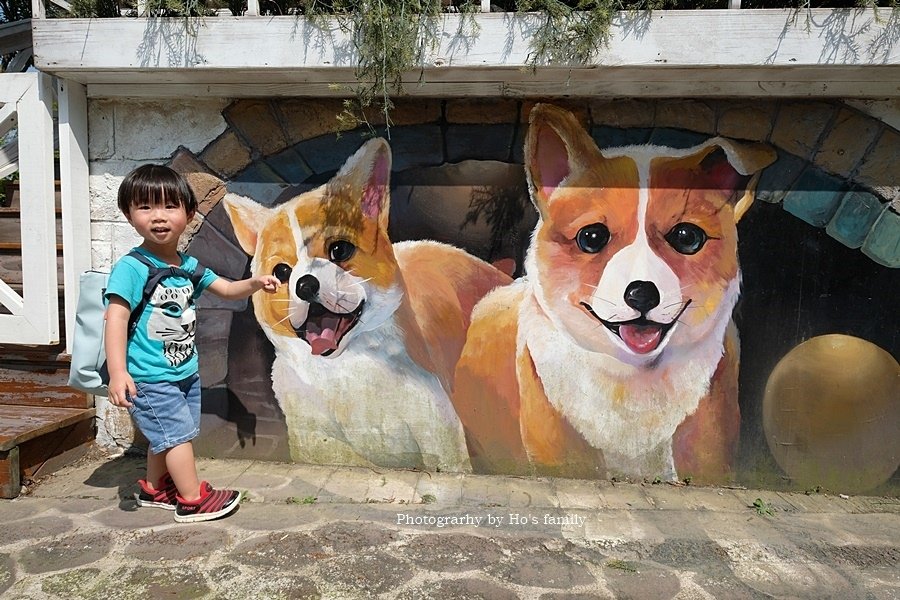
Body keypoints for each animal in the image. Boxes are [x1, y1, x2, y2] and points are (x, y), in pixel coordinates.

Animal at [224, 138, 510, 472]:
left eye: (339, 250)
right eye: (281, 272)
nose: (305, 285)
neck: (344, 371)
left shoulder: (439, 432)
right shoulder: (311, 439)